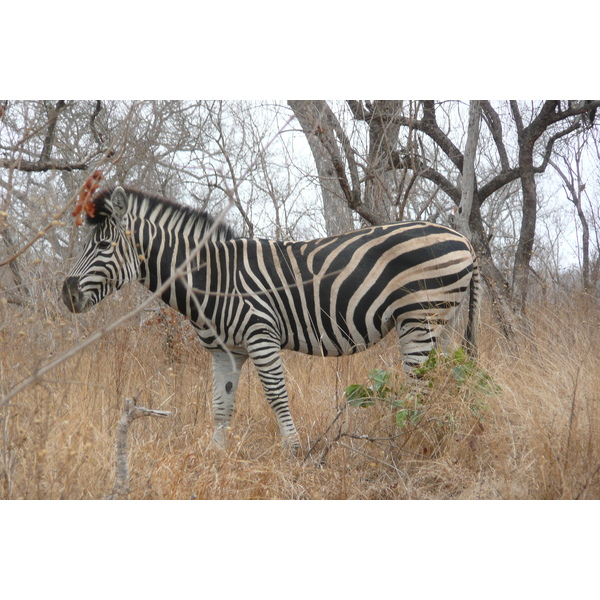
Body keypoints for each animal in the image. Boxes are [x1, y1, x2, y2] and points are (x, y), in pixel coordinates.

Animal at [63, 185, 480, 452]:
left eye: (102, 245)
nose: (66, 293)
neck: (214, 279)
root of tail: (464, 241)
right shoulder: (225, 352)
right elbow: (221, 407)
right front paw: (215, 459)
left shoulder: (260, 335)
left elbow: (277, 397)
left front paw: (294, 454)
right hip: (441, 323)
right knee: (444, 383)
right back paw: (434, 436)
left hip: (420, 318)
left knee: (420, 389)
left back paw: (406, 442)